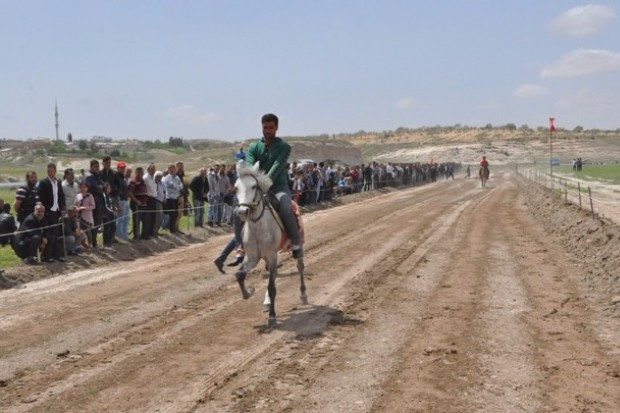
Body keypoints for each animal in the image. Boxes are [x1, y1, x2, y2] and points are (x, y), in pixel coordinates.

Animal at [235, 160, 308, 326]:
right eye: (236, 187)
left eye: (253, 186)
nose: (242, 212)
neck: (258, 227)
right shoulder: (252, 257)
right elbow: (240, 275)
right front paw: (249, 292)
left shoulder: (271, 255)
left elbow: (272, 286)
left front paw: (272, 316)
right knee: (272, 274)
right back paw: (267, 302)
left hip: (298, 246)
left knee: (300, 267)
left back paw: (303, 294)